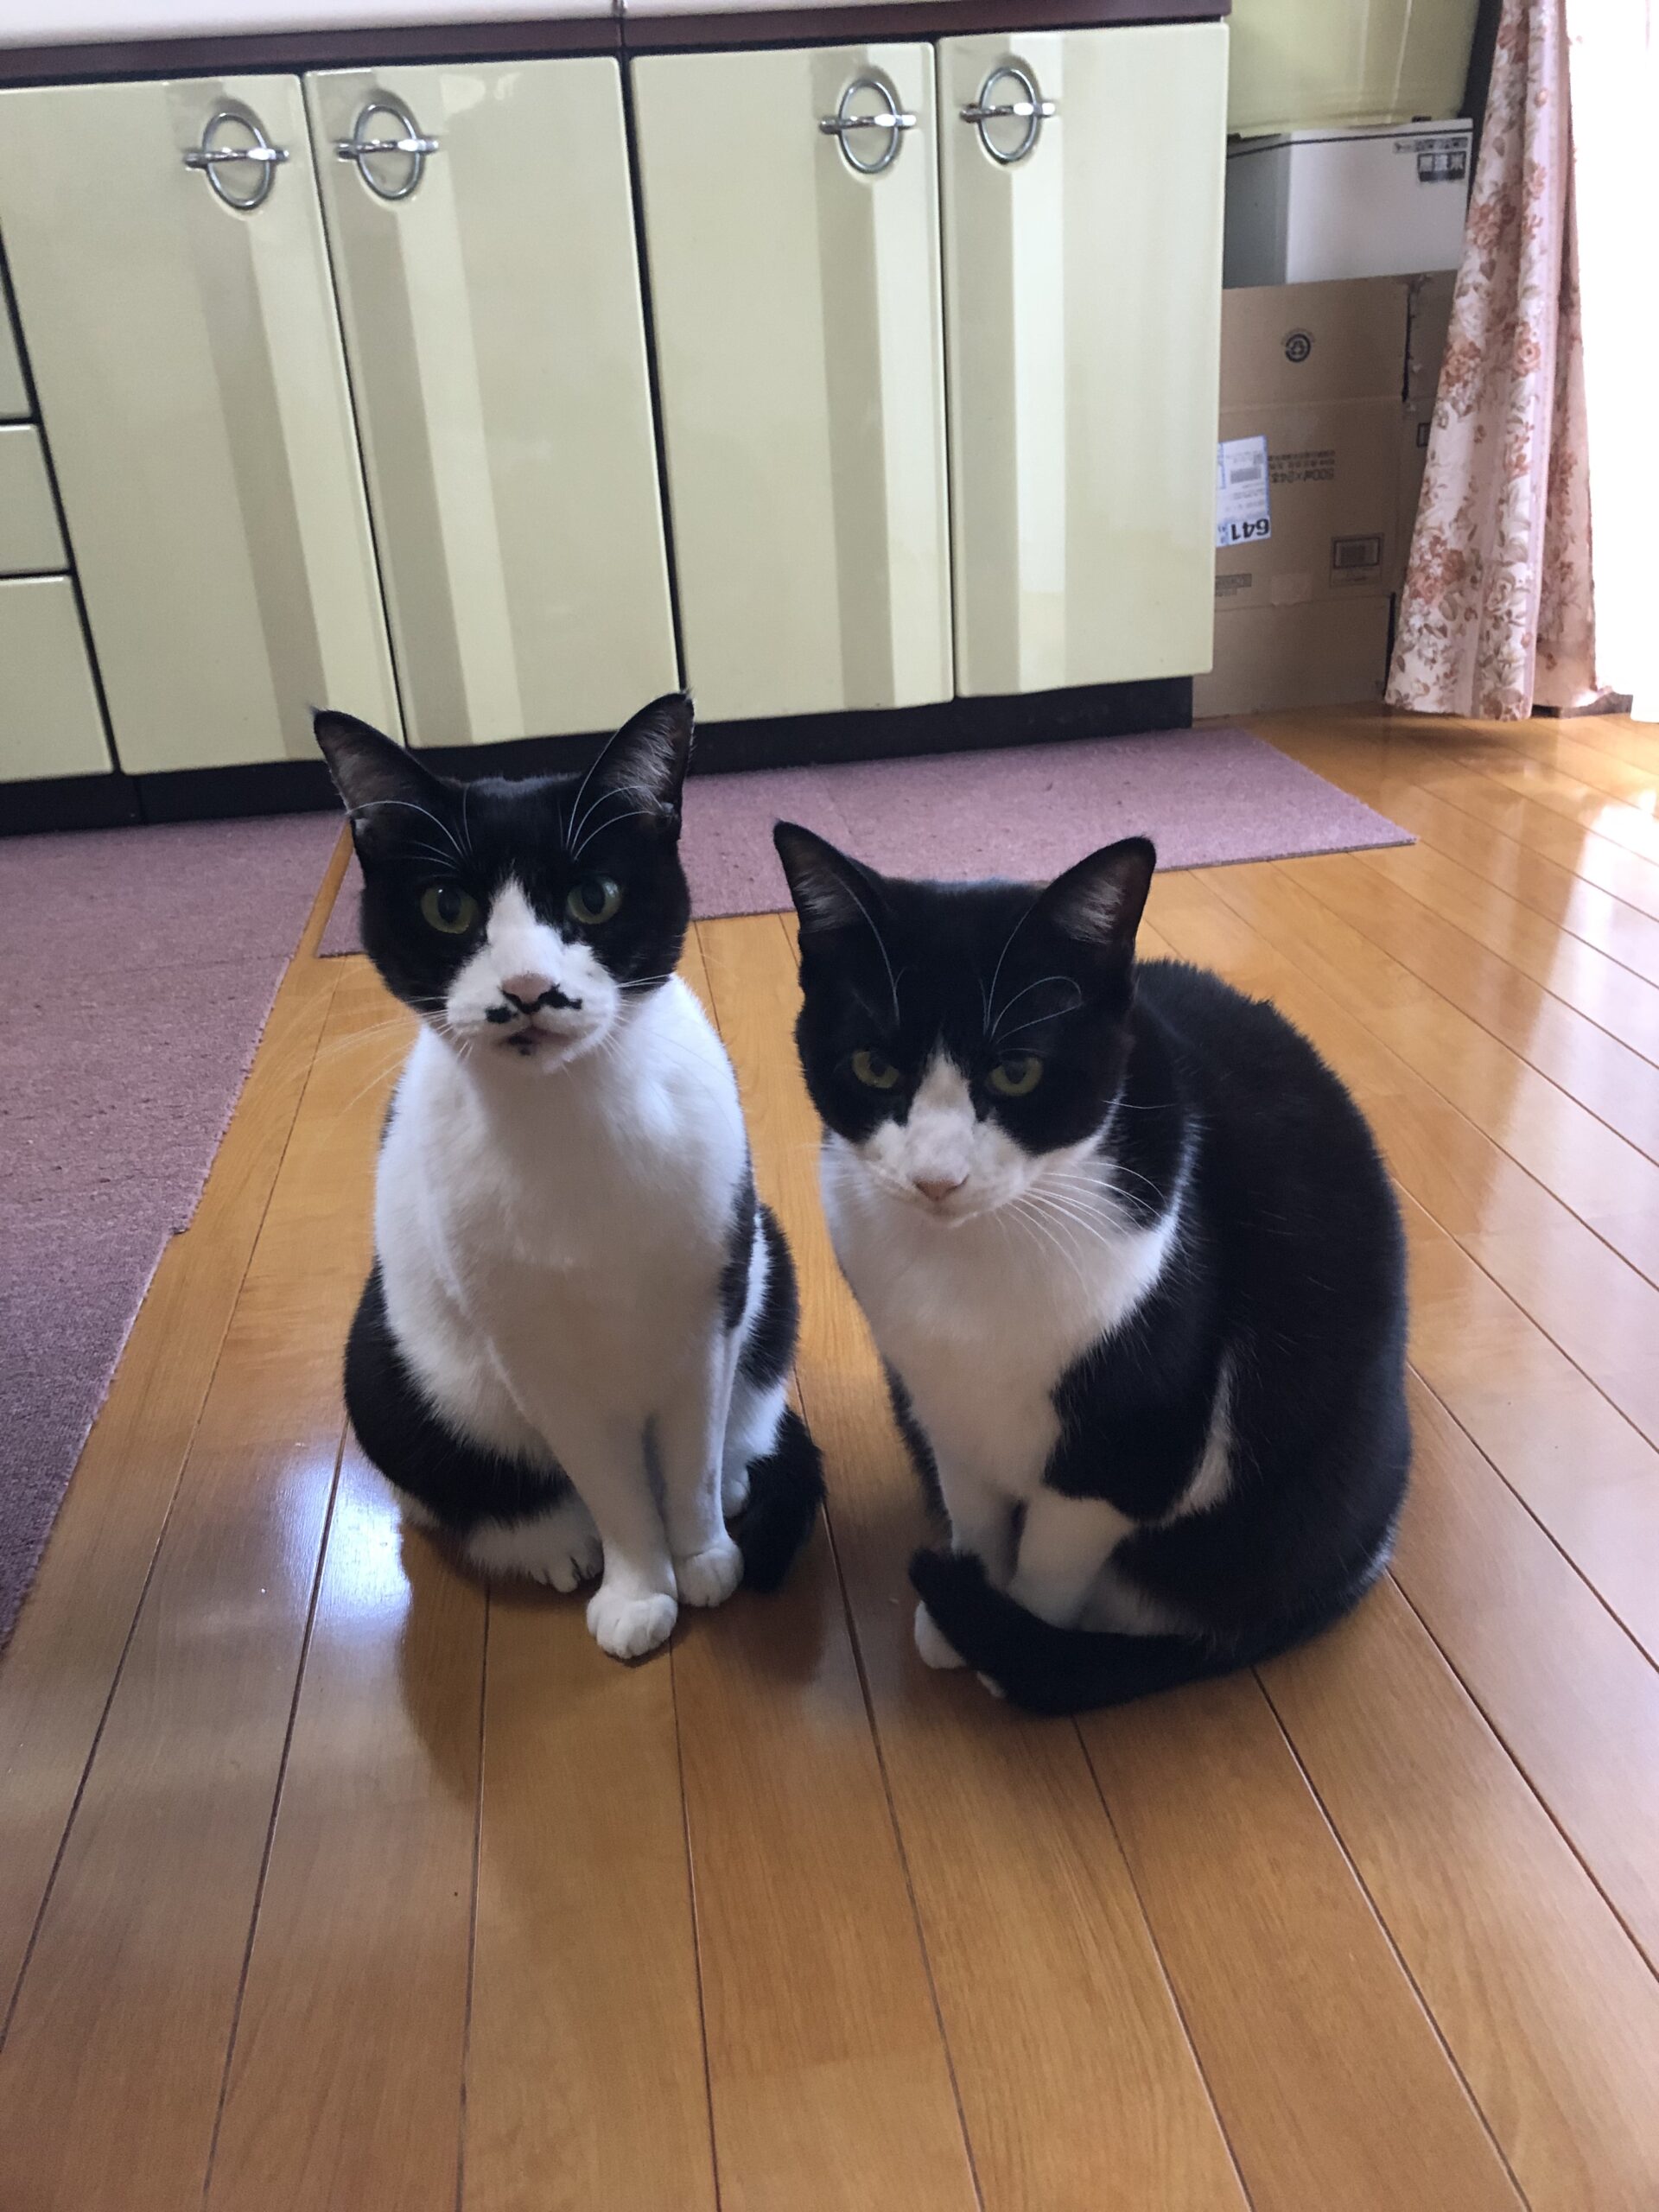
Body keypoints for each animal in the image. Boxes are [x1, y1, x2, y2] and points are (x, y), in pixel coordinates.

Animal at [313, 694, 822, 1661]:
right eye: (447, 906)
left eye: (595, 897)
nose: (525, 987)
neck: (577, 1114)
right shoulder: (535, 1358)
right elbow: (612, 1487)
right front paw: (639, 1586)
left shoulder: (707, 1309)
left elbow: (690, 1460)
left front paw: (703, 1556)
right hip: (388, 1359)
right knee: (459, 1490)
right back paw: (553, 1543)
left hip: (770, 1261)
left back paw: (737, 1480)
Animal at [773, 822, 1409, 1714]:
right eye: (874, 1068)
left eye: (1017, 1072)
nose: (936, 1179)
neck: (968, 1272)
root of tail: (1366, 1557)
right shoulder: (940, 1404)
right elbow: (975, 1512)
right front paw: (968, 1602)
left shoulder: (1126, 1456)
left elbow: (1051, 1564)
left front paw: (1007, 1642)